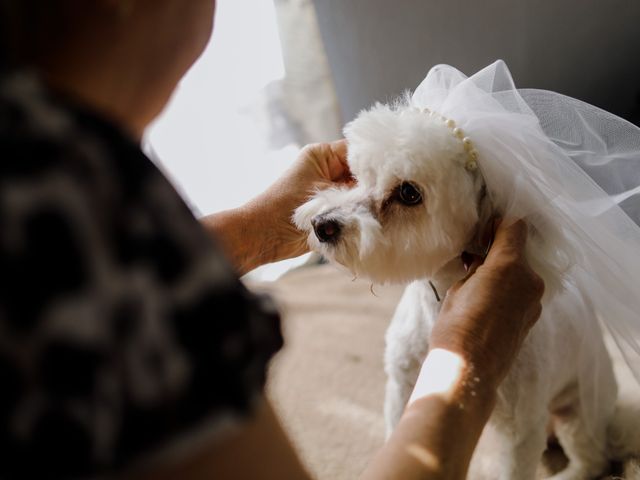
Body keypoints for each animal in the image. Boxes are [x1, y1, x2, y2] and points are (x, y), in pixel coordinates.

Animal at [296, 99, 620, 478]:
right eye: (356, 173)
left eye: (409, 193)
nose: (322, 225)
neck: (437, 311)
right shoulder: (403, 389)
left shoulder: (520, 430)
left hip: (578, 411)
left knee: (592, 459)